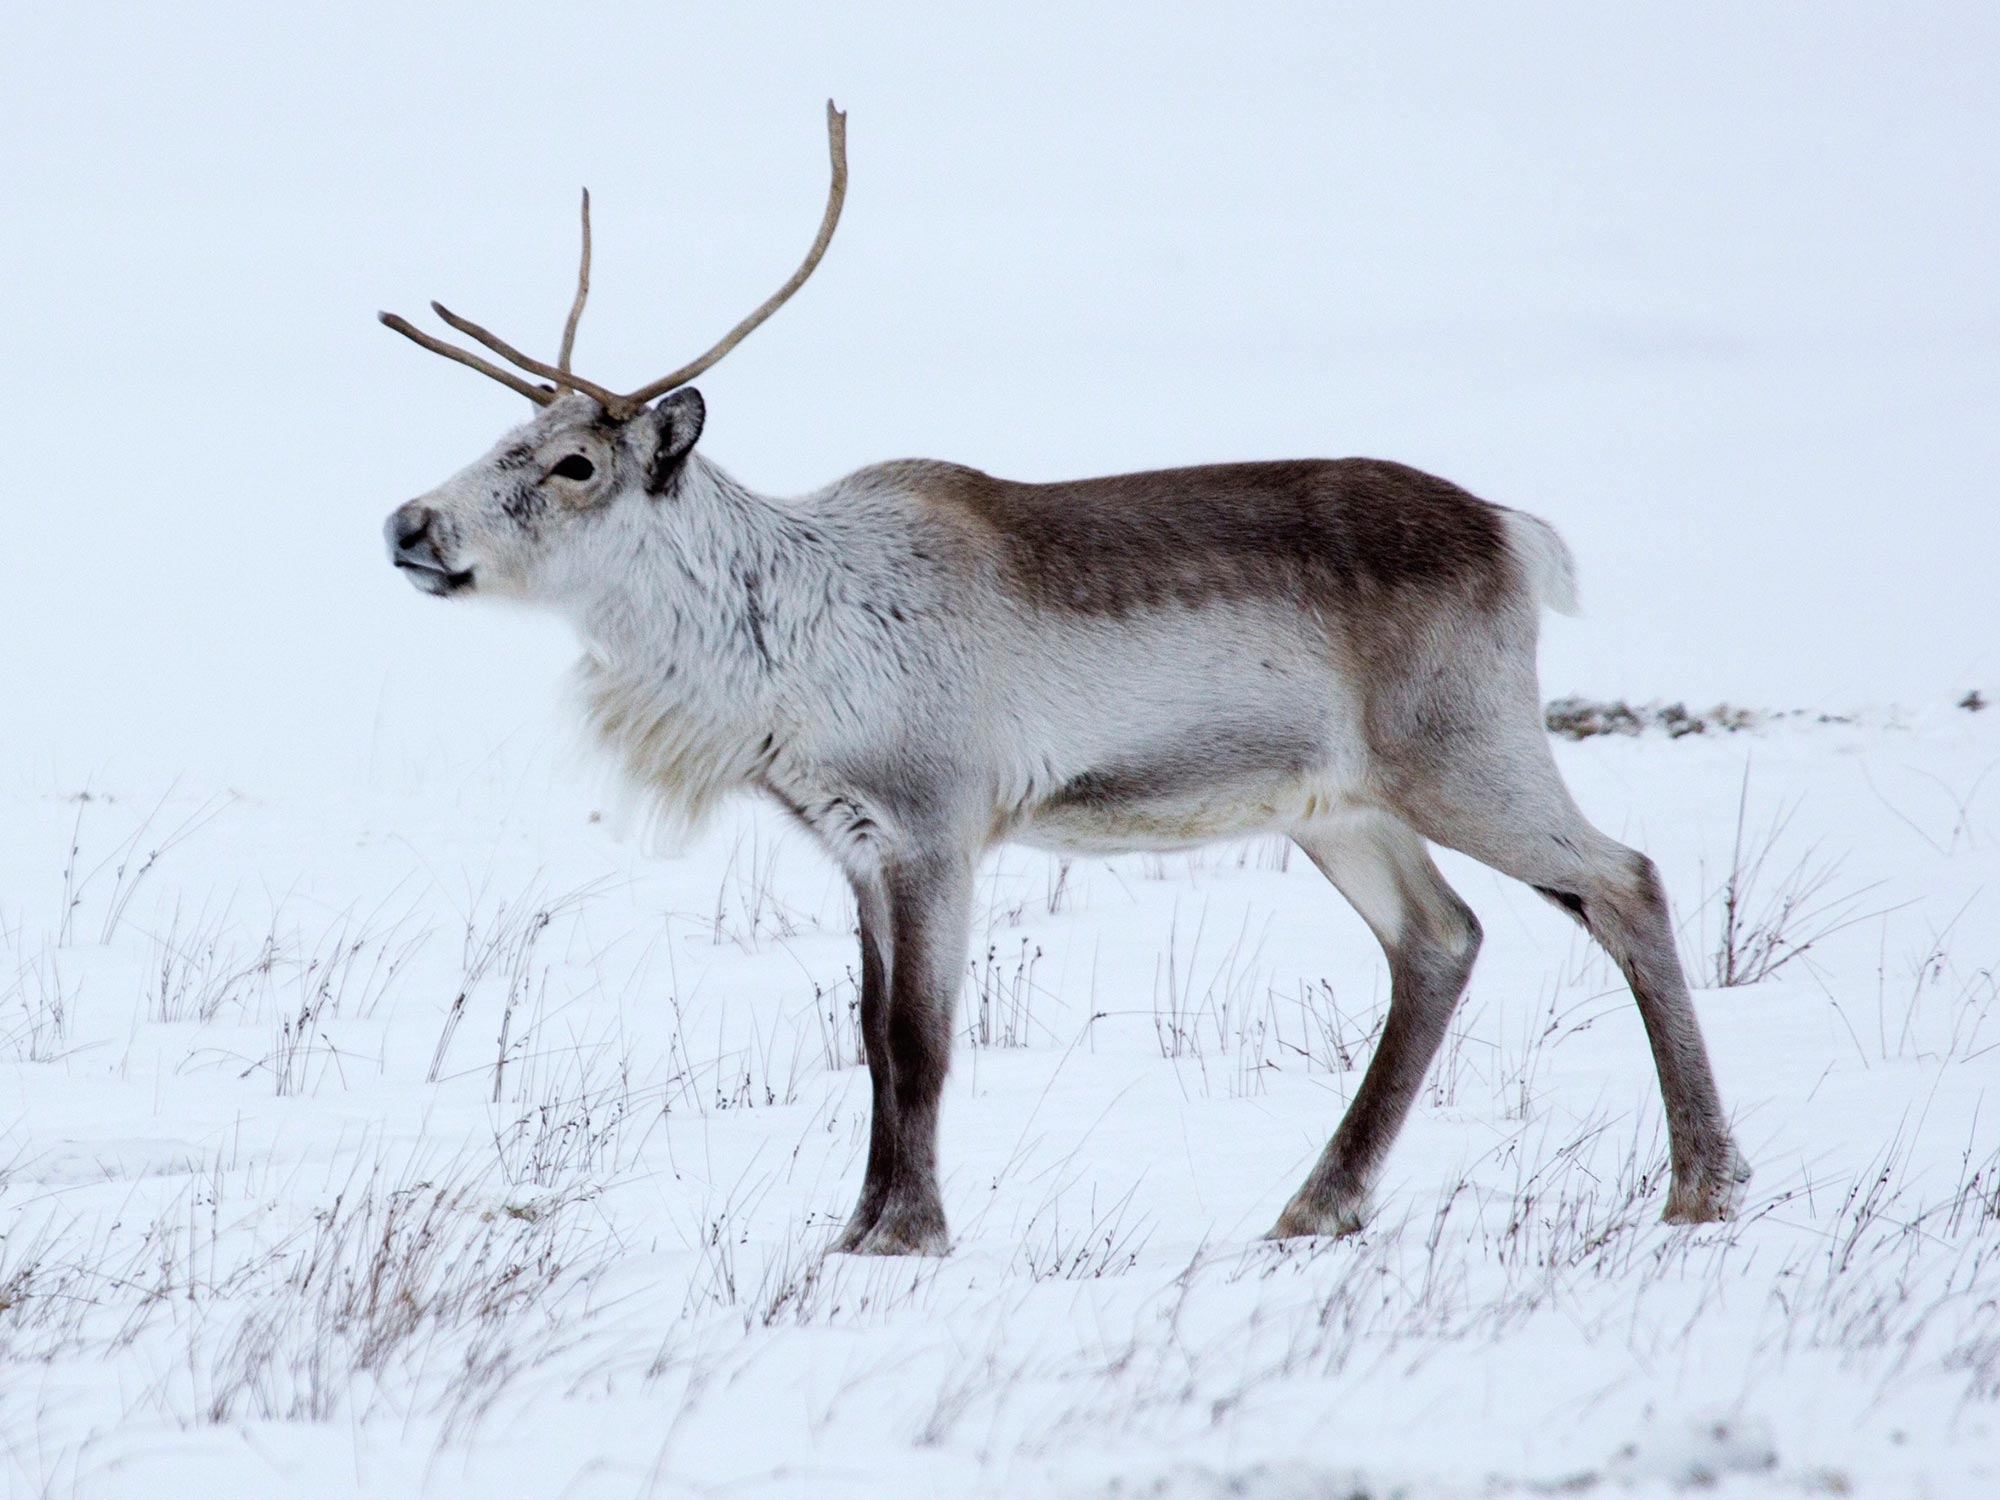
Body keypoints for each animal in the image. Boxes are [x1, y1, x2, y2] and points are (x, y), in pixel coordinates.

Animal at [379, 102, 1749, 1255]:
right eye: (502, 441)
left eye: (572, 464)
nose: (407, 525)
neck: (781, 650)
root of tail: (1512, 534)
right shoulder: (855, 842)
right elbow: (870, 1041)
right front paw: (857, 1225)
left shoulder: (936, 823)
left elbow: (920, 1041)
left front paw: (907, 1236)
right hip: (1337, 804)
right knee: (1439, 937)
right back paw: (1317, 1203)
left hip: (1462, 752)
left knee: (1622, 882)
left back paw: (1701, 1182)